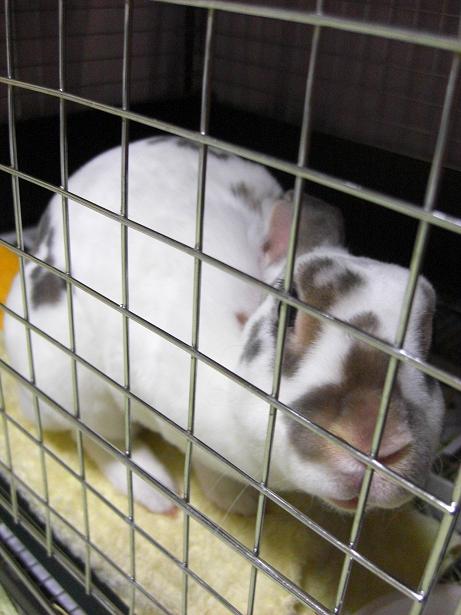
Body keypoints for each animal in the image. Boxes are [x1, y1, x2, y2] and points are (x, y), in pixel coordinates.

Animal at [4, 136, 444, 516]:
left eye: (428, 337)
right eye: (289, 311)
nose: (377, 442)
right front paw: (238, 504)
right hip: (73, 379)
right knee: (99, 437)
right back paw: (155, 492)